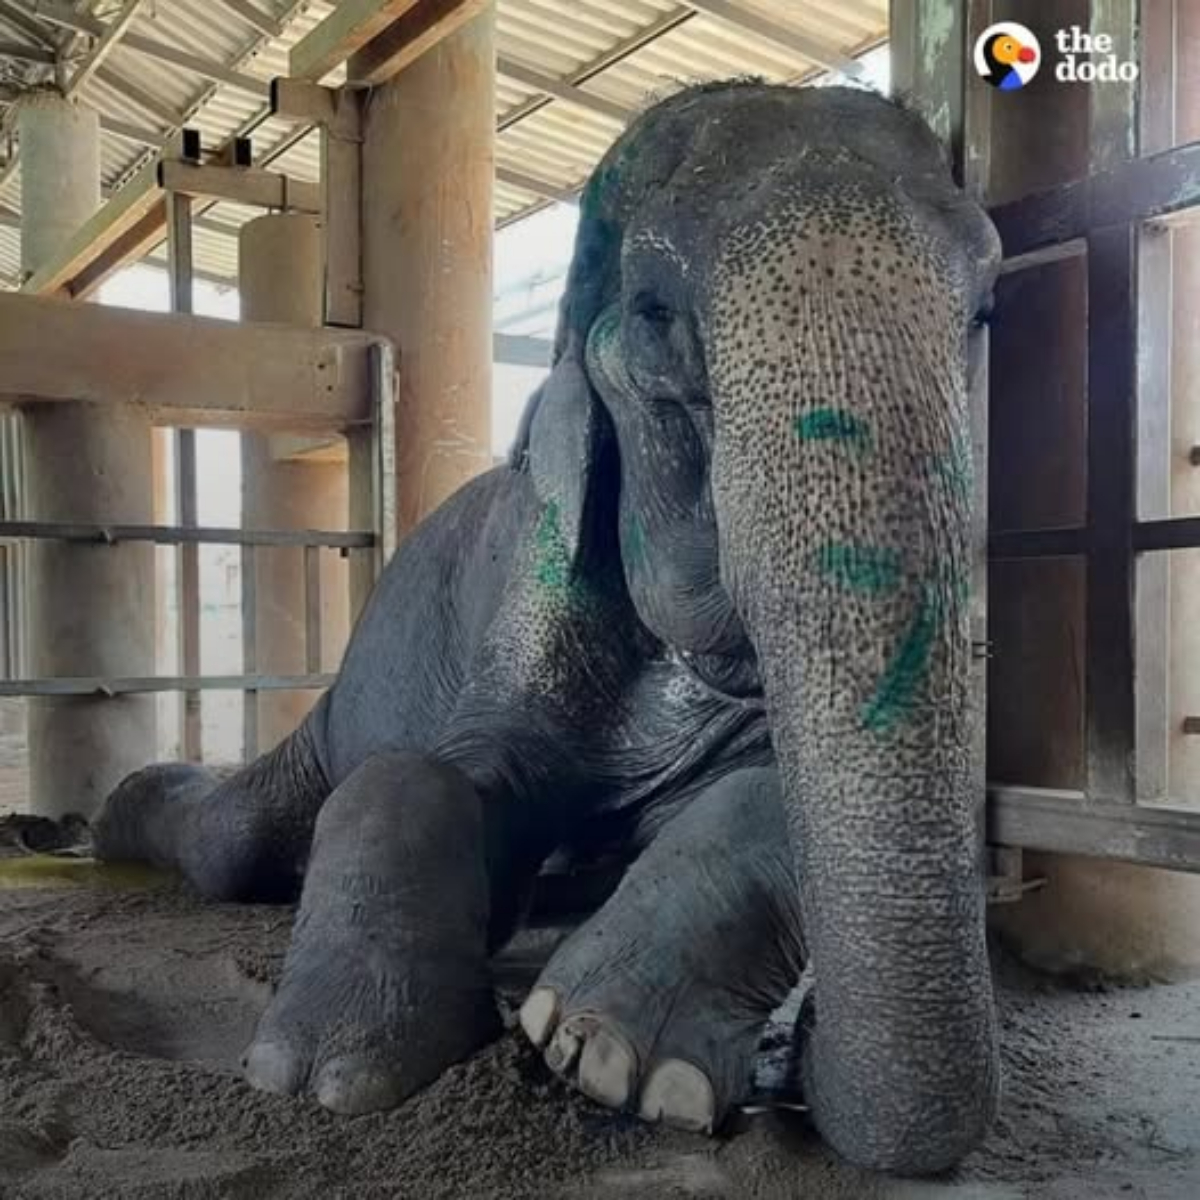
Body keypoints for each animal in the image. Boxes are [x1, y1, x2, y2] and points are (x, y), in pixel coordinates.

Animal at [93, 80, 1003, 1175]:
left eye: (986, 309)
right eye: (655, 316)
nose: (801, 1069)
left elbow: (768, 791)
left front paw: (612, 1060)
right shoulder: (535, 567)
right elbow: (424, 774)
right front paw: (329, 1074)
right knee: (234, 842)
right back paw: (103, 822)